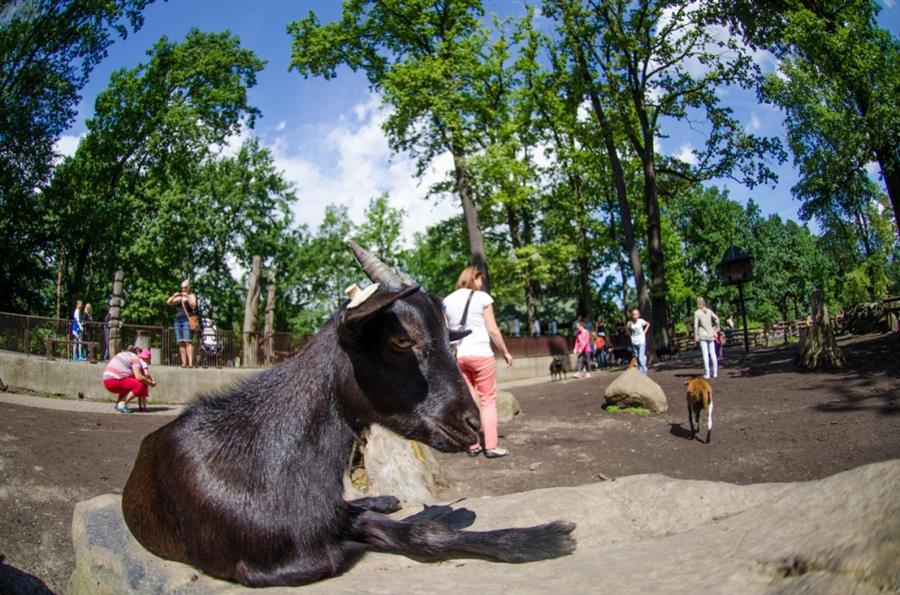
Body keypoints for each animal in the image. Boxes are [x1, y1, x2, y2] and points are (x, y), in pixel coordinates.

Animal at [121, 241, 576, 588]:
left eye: (450, 339)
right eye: (400, 339)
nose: (472, 424)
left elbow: (422, 532)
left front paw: (540, 539)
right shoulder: (264, 562)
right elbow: (334, 552)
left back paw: (386, 497)